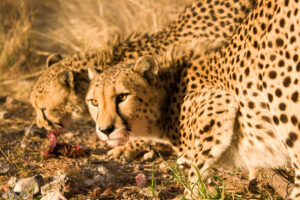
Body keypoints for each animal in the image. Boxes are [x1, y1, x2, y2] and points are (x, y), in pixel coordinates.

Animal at [86, 0, 300, 198]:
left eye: (122, 96)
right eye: (94, 102)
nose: (104, 130)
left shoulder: (219, 102)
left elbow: (197, 165)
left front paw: (191, 192)